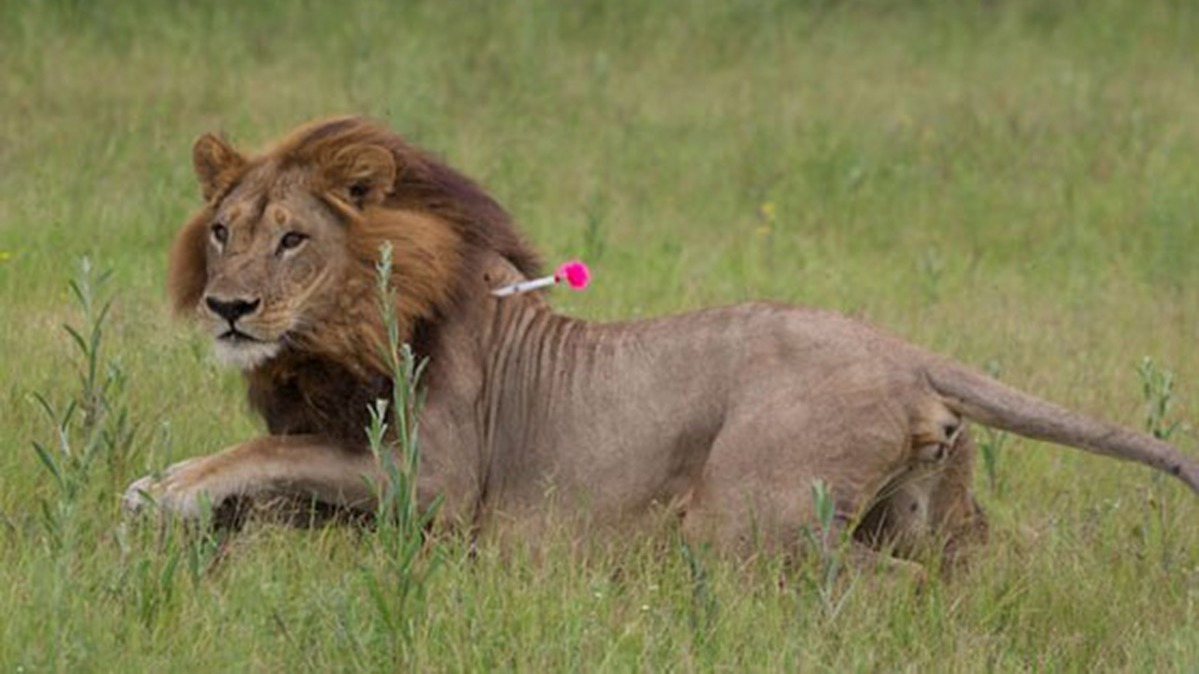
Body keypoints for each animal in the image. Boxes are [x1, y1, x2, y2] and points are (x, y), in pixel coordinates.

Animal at [124, 115, 1199, 561]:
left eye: (292, 239)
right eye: (222, 232)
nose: (227, 307)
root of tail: (903, 348)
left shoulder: (436, 483)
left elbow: (265, 450)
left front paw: (164, 490)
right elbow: (276, 485)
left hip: (742, 524)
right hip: (936, 517)